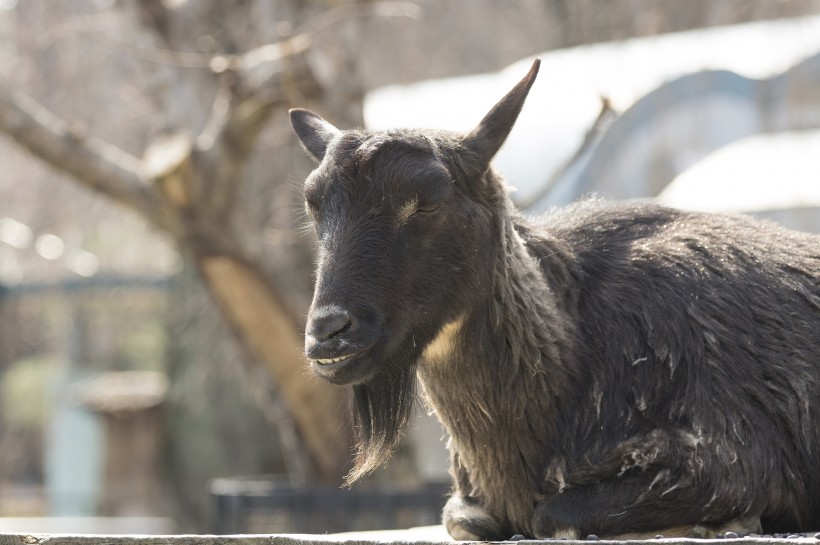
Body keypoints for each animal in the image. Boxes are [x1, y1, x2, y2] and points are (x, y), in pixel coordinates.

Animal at [290, 60, 820, 540]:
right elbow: (465, 520)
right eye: (313, 204)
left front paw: (727, 521)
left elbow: (553, 515)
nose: (329, 334)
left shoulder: (727, 456)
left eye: (430, 200)